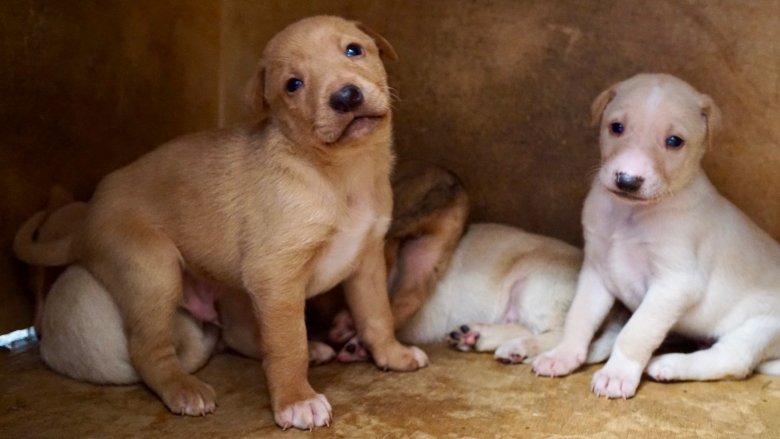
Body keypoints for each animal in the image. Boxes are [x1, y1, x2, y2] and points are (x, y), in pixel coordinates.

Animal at [12, 15, 426, 432]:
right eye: (292, 85)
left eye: (354, 50)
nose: (345, 97)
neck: (342, 173)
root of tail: (88, 218)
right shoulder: (276, 277)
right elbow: (287, 345)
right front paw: (296, 400)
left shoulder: (366, 260)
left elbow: (377, 315)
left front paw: (393, 354)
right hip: (153, 270)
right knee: (148, 350)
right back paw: (182, 388)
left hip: (229, 290)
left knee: (240, 335)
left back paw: (313, 348)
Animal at [532, 74, 780, 400]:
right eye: (616, 127)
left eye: (674, 141)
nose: (627, 180)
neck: (630, 214)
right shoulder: (596, 271)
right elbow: (580, 316)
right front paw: (563, 354)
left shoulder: (673, 284)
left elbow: (636, 332)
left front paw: (617, 374)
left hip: (760, 326)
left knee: (733, 360)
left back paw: (670, 365)